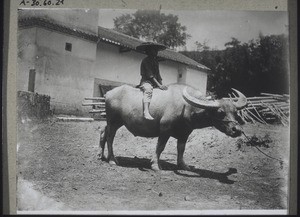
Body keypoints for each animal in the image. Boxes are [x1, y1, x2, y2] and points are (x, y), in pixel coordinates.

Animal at [98, 84, 246, 170]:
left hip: (115, 122)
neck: (187, 107)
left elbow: (181, 149)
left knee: (103, 132)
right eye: (220, 112)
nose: (237, 130)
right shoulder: (165, 129)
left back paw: (101, 155)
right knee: (110, 137)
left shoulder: (185, 133)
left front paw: (183, 165)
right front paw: (155, 165)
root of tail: (109, 93)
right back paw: (112, 159)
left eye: (235, 112)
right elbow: (160, 147)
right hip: (113, 121)